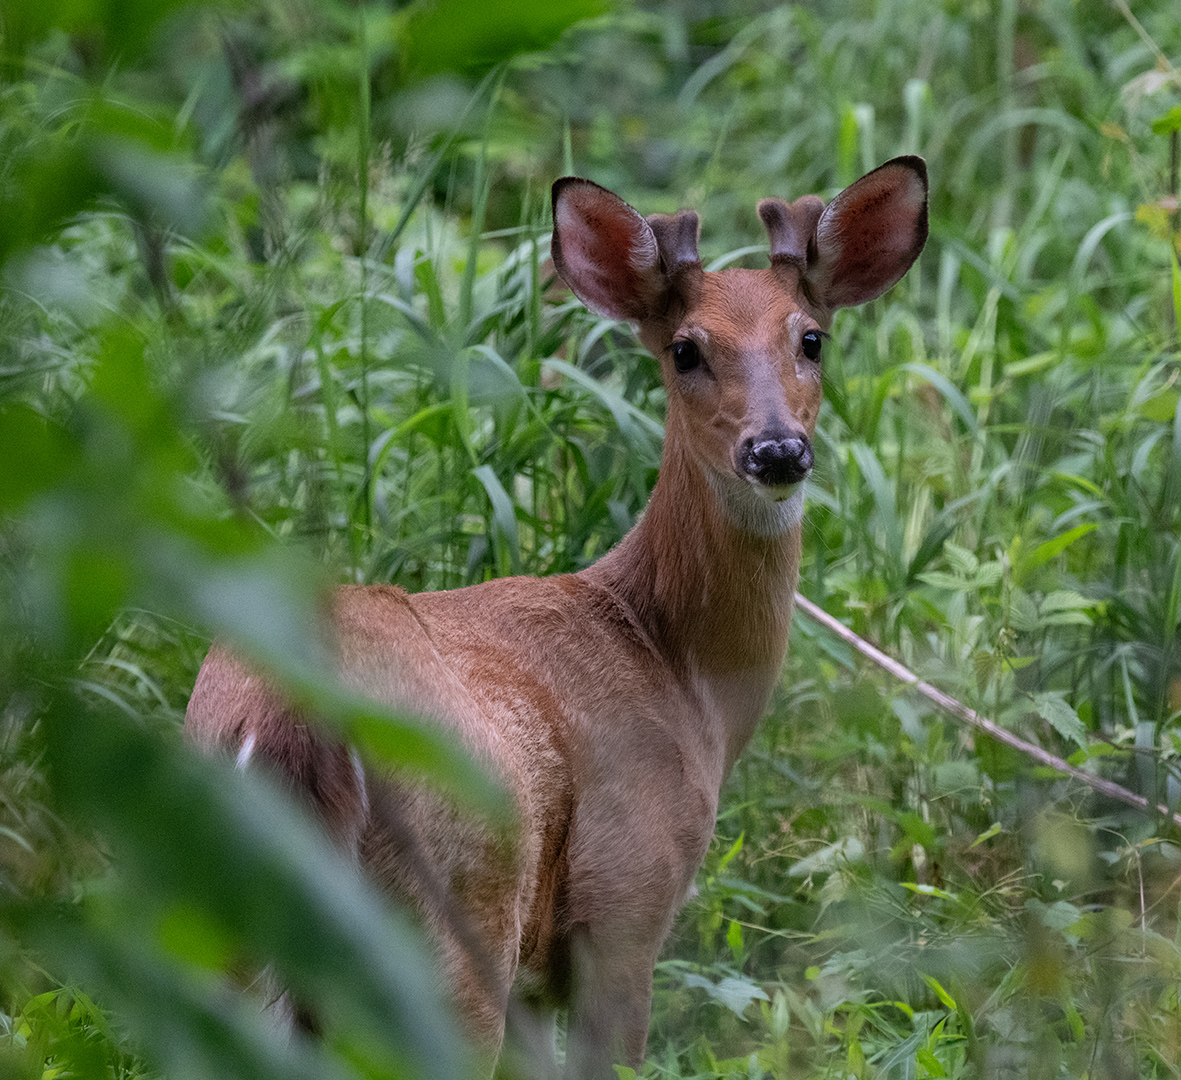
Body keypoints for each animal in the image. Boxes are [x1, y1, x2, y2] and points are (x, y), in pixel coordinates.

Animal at [184, 155, 925, 1072]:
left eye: (811, 338)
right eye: (685, 349)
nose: (777, 449)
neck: (677, 670)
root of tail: (294, 715)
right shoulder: (623, 903)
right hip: (455, 920)